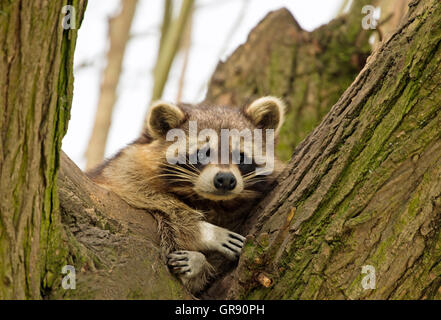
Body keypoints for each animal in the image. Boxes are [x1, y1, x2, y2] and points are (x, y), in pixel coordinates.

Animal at [86, 96, 286, 294]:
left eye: (241, 156)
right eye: (203, 154)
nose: (226, 180)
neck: (211, 201)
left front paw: (200, 265)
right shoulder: (122, 169)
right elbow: (141, 192)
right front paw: (205, 232)